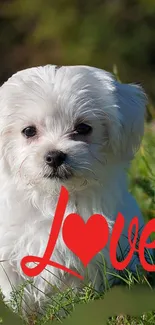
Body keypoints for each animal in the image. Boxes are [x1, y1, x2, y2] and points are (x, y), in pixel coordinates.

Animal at [0, 64, 148, 316]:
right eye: (28, 131)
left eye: (83, 128)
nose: (54, 156)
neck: (56, 197)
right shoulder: (10, 253)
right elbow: (16, 293)